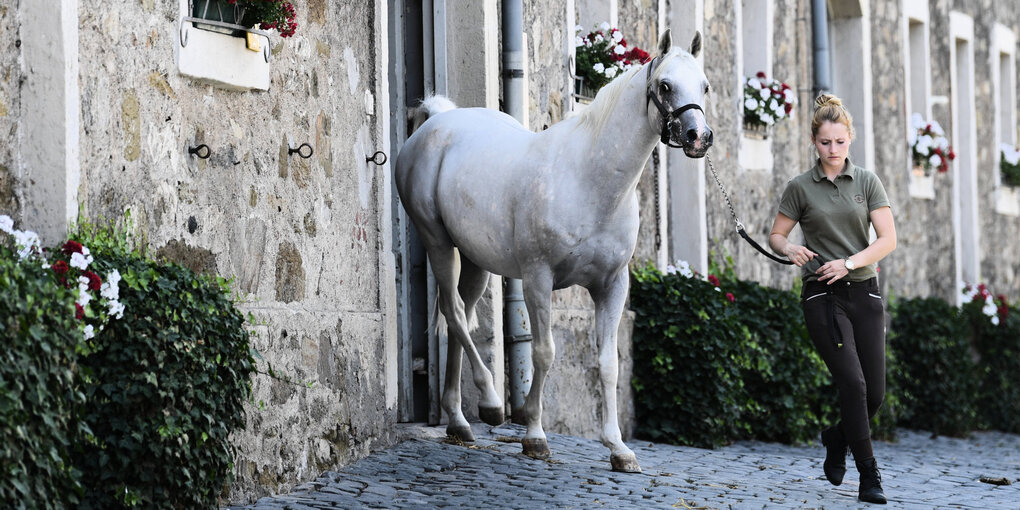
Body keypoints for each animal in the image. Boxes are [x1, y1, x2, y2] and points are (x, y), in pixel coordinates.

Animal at [393, 29, 714, 471]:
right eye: (665, 85)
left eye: (705, 86)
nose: (698, 137)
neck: (590, 181)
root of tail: (437, 122)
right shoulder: (537, 279)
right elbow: (544, 353)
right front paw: (534, 435)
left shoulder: (612, 286)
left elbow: (609, 363)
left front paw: (619, 448)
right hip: (437, 240)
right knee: (456, 314)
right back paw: (491, 403)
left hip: (476, 260)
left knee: (460, 317)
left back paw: (458, 421)